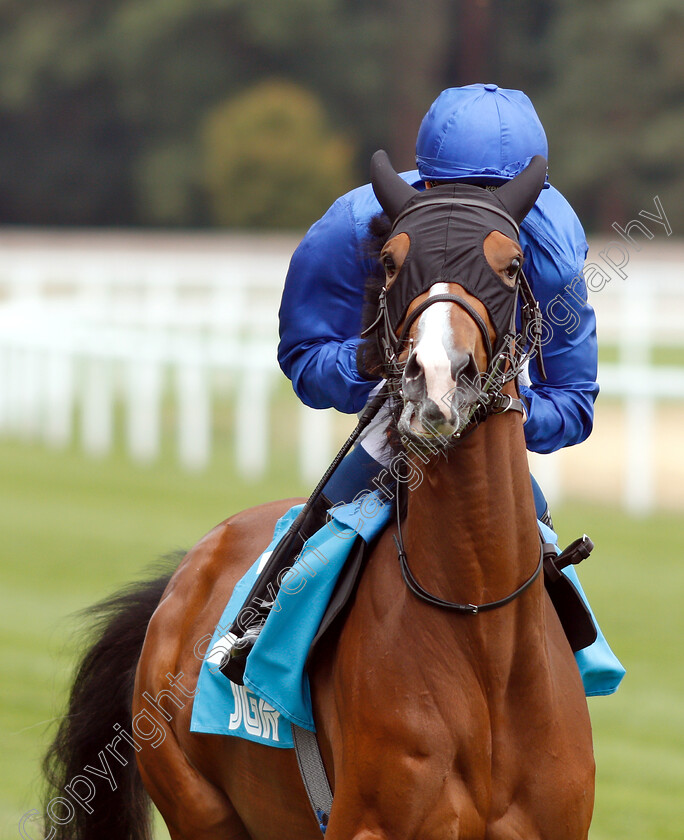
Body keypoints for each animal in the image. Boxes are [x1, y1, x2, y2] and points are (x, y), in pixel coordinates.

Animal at [44, 153, 592, 840]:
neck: (479, 626)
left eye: (512, 264)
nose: (438, 378)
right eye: (391, 260)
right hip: (198, 805)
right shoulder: (372, 823)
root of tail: (179, 581)